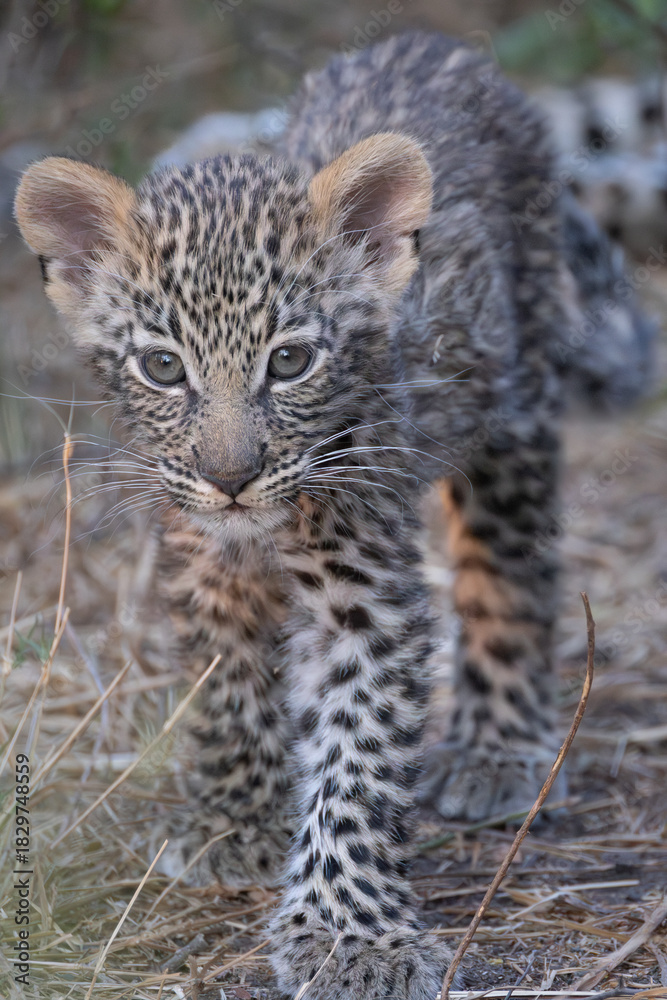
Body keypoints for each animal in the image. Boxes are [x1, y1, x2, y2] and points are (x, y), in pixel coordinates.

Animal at [15, 31, 653, 1000]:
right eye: (162, 367)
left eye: (291, 361)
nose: (231, 478)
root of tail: (432, 45)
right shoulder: (203, 559)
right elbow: (226, 694)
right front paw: (233, 822)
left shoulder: (365, 596)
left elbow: (356, 760)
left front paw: (354, 937)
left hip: (515, 410)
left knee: (506, 577)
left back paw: (495, 751)